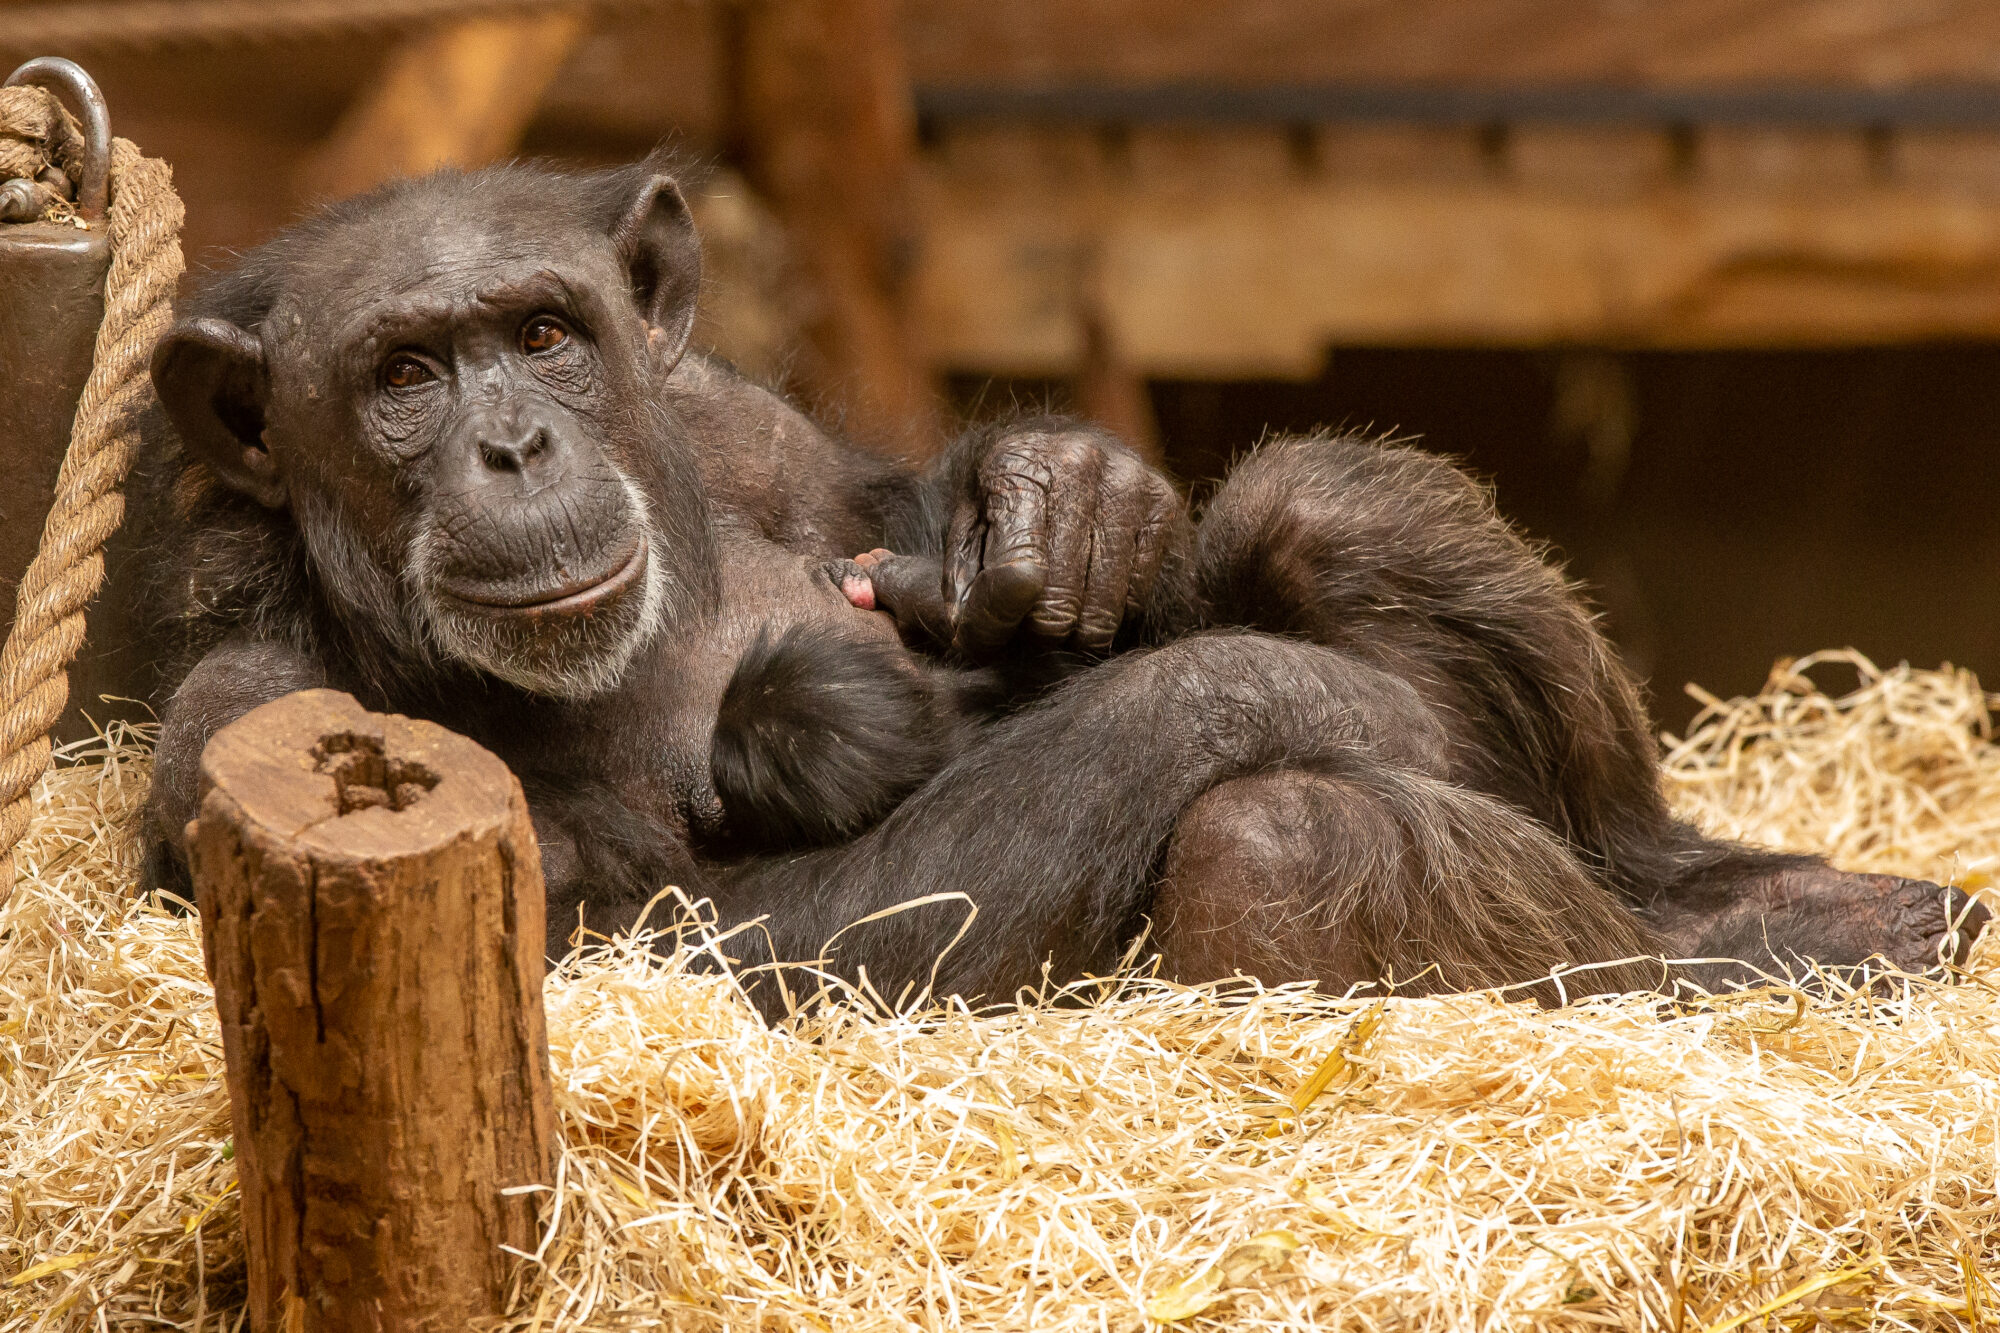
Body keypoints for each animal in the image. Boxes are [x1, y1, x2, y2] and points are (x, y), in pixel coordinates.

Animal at [129, 153, 1984, 1008]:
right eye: (402, 377)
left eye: (539, 336)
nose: (512, 441)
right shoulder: (253, 721)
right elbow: (724, 949)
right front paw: (1255, 681)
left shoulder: (723, 417)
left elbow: (885, 500)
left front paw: (1062, 498)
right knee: (1276, 839)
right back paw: (1732, 966)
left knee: (1317, 496)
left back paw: (1757, 898)